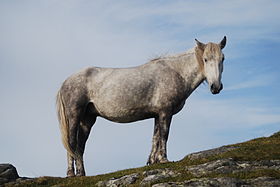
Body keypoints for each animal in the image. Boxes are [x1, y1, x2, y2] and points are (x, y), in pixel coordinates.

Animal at [55, 37, 226, 177]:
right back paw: (71, 174)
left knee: (80, 146)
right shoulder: (165, 112)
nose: (216, 87)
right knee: (71, 142)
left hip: (88, 119)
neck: (176, 72)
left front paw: (152, 161)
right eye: (205, 59)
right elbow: (164, 135)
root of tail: (66, 81)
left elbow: (155, 138)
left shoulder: (157, 114)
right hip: (74, 116)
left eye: (222, 59)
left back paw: (81, 173)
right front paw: (164, 159)